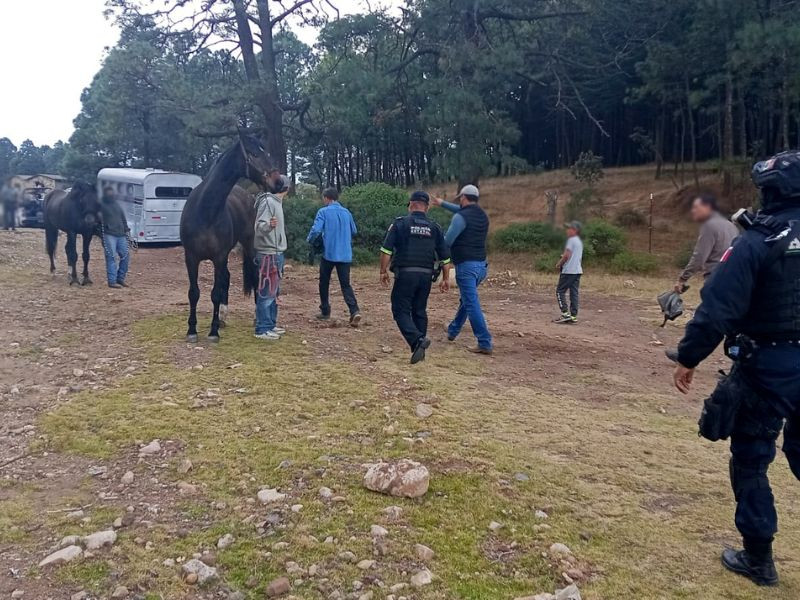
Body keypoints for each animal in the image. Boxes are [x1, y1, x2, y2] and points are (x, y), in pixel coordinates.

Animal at [180, 130, 276, 343]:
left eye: (267, 152)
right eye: (254, 154)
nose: (279, 181)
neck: (205, 211)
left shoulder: (219, 257)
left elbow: (215, 293)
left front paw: (213, 332)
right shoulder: (191, 257)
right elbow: (194, 293)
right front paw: (192, 330)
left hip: (247, 247)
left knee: (254, 276)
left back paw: (254, 318)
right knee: (227, 277)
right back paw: (223, 317)